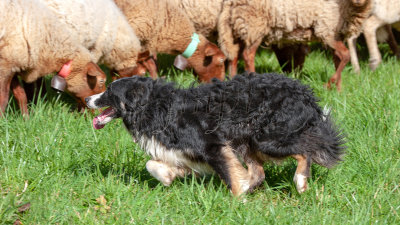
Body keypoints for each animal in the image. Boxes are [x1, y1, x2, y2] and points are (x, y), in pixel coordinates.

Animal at [86, 73, 346, 196]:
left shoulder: (211, 144)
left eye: (109, 91)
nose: (88, 99)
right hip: (247, 141)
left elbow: (230, 174)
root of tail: (305, 94)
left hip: (268, 138)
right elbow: (153, 164)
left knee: (306, 150)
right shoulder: (185, 152)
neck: (154, 106)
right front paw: (167, 176)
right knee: (259, 171)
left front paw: (237, 201)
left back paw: (300, 181)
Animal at [219, 0, 372, 91]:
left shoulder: (336, 33)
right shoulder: (326, 29)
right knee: (247, 55)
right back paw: (252, 79)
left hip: (238, 27)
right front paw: (329, 84)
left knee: (234, 57)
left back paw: (233, 83)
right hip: (254, 25)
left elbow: (338, 60)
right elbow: (345, 55)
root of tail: (229, 3)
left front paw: (338, 91)